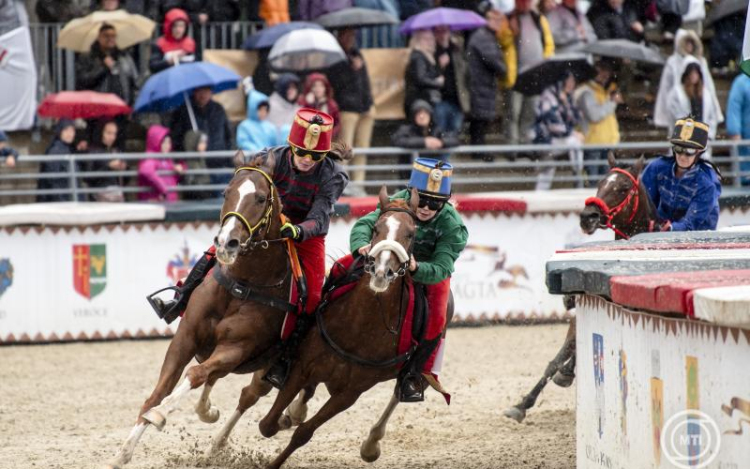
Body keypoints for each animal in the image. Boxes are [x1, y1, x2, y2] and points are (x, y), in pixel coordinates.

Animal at [104, 155, 310, 466]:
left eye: (261, 198)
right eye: (226, 192)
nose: (227, 243)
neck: (242, 285)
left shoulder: (235, 348)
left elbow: (194, 374)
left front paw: (160, 414)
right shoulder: (185, 338)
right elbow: (160, 391)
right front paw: (122, 453)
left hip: (267, 367)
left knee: (249, 394)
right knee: (224, 384)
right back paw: (211, 421)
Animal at [245, 187, 452, 468]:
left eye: (411, 233)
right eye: (376, 228)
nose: (381, 272)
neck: (358, 328)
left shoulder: (351, 392)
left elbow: (303, 433)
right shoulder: (302, 367)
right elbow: (268, 424)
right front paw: (287, 416)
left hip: (426, 364)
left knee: (398, 394)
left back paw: (371, 444)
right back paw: (295, 412)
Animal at [506, 153, 656, 420]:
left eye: (623, 187)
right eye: (600, 183)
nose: (588, 216)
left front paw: (564, 374)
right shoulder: (578, 317)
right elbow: (556, 360)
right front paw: (523, 403)